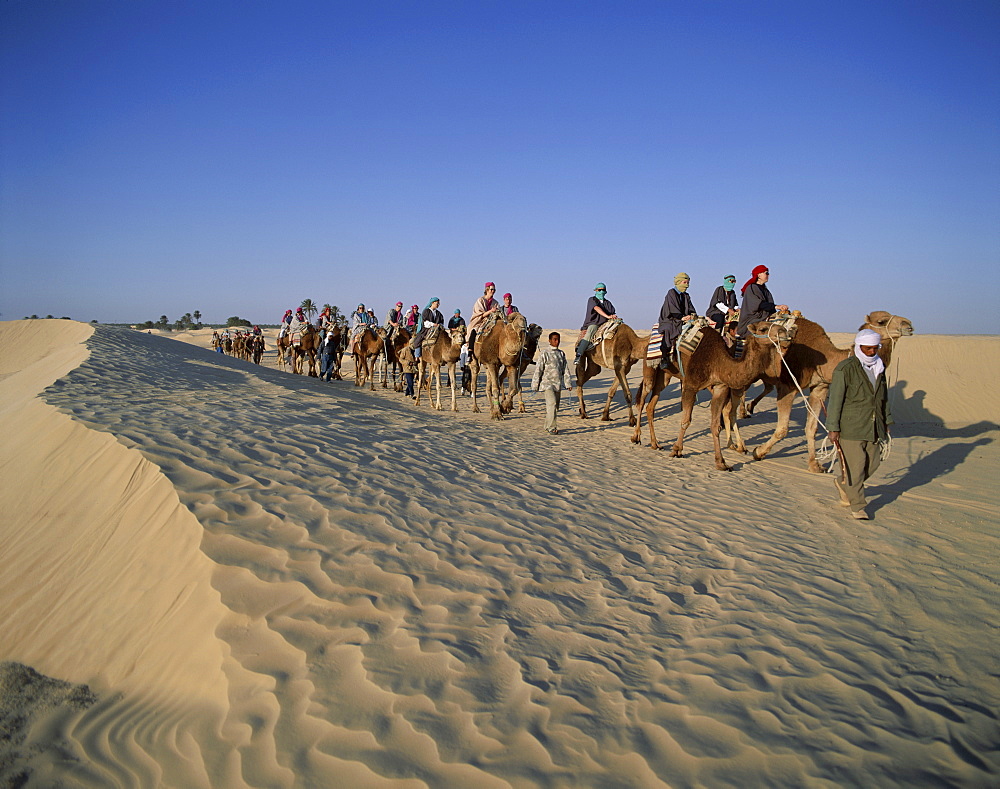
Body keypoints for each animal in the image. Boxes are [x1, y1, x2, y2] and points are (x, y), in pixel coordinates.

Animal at [668, 318, 800, 470]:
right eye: (763, 329)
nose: (784, 334)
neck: (717, 361)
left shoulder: (721, 388)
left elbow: (716, 425)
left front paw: (721, 462)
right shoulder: (691, 385)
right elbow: (685, 421)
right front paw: (676, 450)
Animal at [744, 310, 916, 470]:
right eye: (882, 321)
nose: (908, 324)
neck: (822, 357)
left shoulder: (820, 388)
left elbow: (811, 428)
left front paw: (815, 465)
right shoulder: (788, 386)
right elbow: (782, 429)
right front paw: (758, 452)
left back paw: (746, 410)